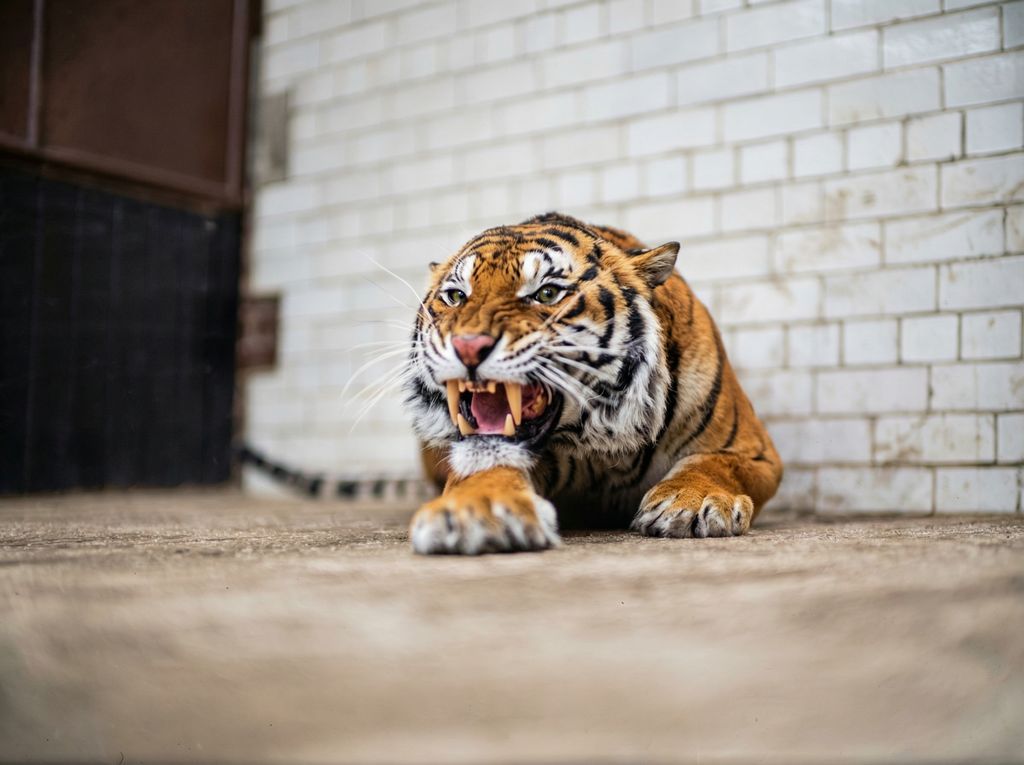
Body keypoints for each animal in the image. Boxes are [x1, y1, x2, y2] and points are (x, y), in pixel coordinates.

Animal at [404, 212, 783, 555]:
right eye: (456, 296)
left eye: (547, 293)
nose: (468, 345)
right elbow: (485, 468)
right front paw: (475, 510)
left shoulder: (754, 452)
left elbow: (715, 463)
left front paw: (694, 500)